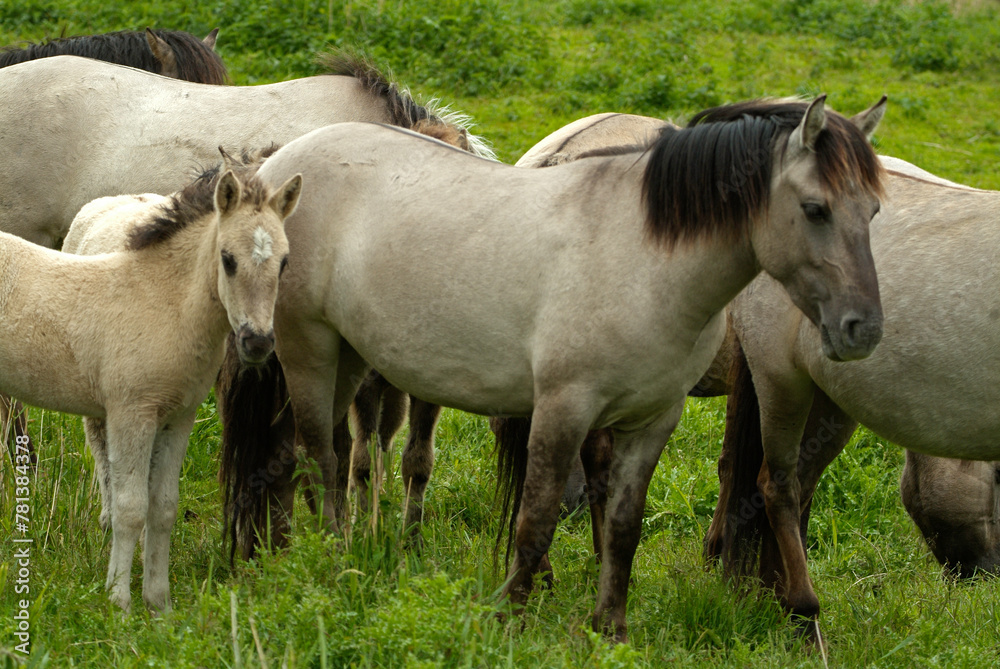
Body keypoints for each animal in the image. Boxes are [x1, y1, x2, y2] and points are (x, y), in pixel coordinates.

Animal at [2, 154, 300, 612]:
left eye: (283, 262)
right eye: (228, 258)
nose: (258, 342)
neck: (164, 302)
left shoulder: (178, 417)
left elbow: (163, 507)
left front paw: (160, 604)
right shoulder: (132, 413)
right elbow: (130, 508)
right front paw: (119, 603)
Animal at [217, 95, 884, 640]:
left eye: (874, 210)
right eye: (816, 209)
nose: (864, 329)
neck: (646, 260)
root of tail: (274, 172)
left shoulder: (652, 421)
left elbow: (622, 527)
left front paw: (609, 629)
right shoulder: (564, 409)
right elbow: (535, 520)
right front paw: (510, 617)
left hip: (348, 359)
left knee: (298, 451)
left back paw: (279, 554)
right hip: (308, 349)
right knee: (321, 458)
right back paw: (330, 562)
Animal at [704, 154, 1000, 636]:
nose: (987, 575)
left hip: (827, 402)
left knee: (794, 487)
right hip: (781, 381)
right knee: (776, 488)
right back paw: (801, 616)